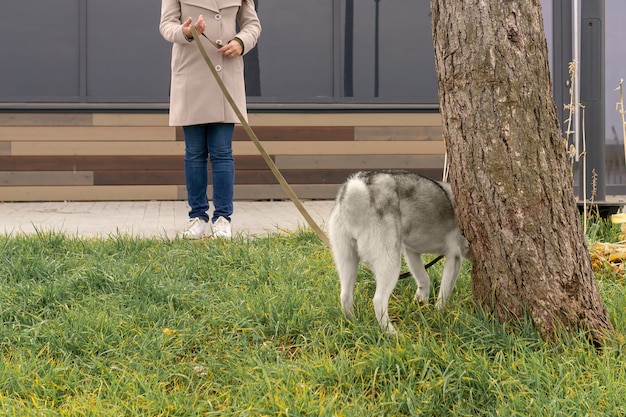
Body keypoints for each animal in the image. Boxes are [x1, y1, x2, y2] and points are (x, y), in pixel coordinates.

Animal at [326, 167, 468, 334]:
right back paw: (392, 333)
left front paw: (421, 302)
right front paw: (439, 313)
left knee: (345, 296)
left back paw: (354, 324)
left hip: (347, 260)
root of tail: (359, 189)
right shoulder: (454, 257)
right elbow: (444, 292)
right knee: (378, 300)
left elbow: (423, 278)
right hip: (390, 263)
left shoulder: (411, 251)